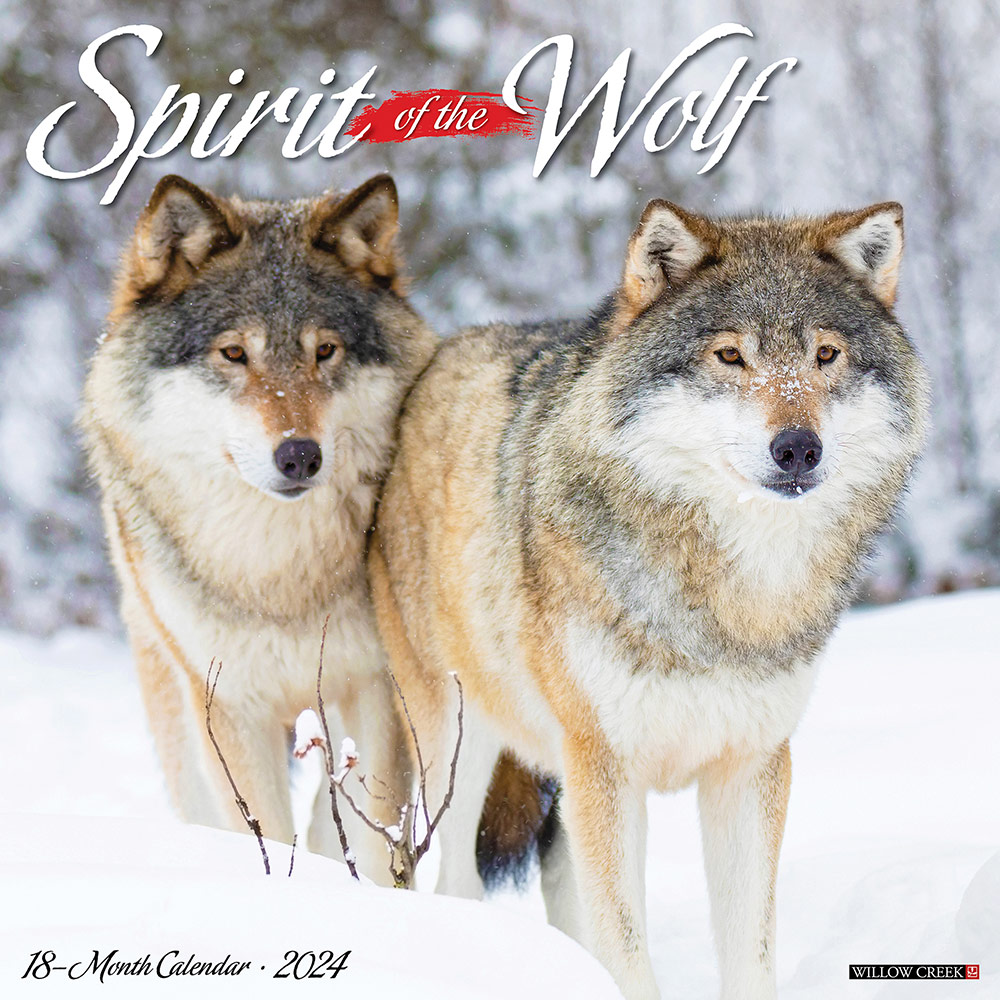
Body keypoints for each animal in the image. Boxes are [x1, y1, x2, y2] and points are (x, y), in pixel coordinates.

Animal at [81, 173, 436, 883]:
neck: (279, 575)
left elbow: (373, 842)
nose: (300, 456)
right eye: (234, 353)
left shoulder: (375, 690)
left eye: (324, 350)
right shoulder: (230, 706)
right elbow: (265, 832)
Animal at [369, 200, 929, 995]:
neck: (725, 601)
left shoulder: (749, 769)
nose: (798, 447)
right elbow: (628, 951)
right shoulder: (606, 766)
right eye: (730, 357)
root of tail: (439, 358)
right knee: (456, 881)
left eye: (826, 355)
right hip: (461, 741)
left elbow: (750, 952)